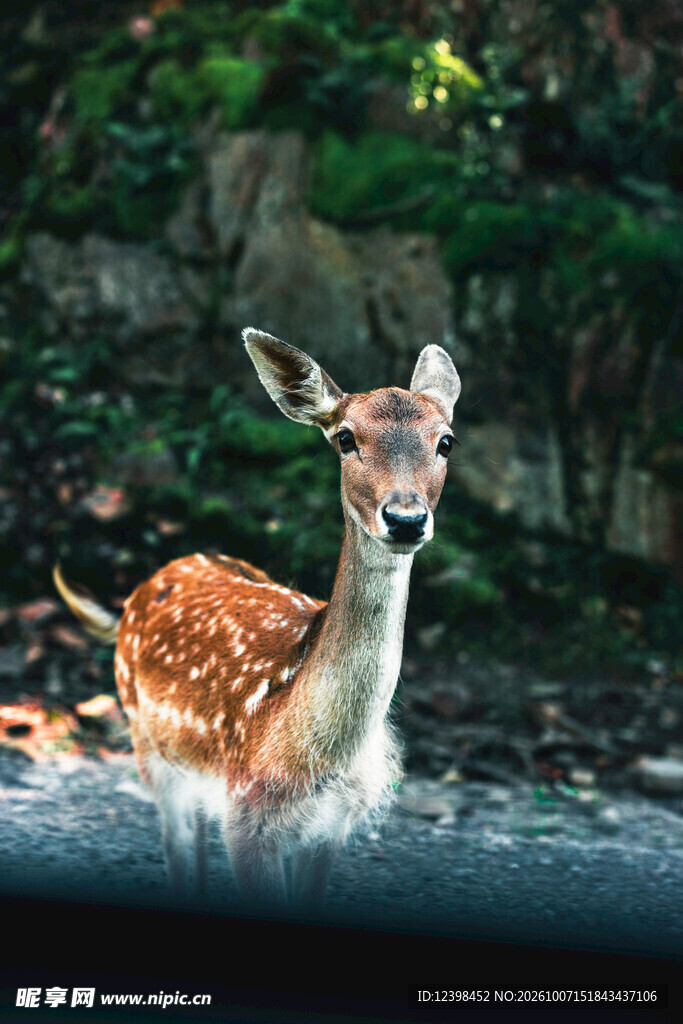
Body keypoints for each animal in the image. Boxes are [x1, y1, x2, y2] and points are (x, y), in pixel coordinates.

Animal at [53, 328, 461, 906]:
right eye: (345, 438)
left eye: (446, 441)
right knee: (176, 846)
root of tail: (140, 590)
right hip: (147, 745)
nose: (406, 519)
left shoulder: (330, 824)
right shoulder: (246, 813)